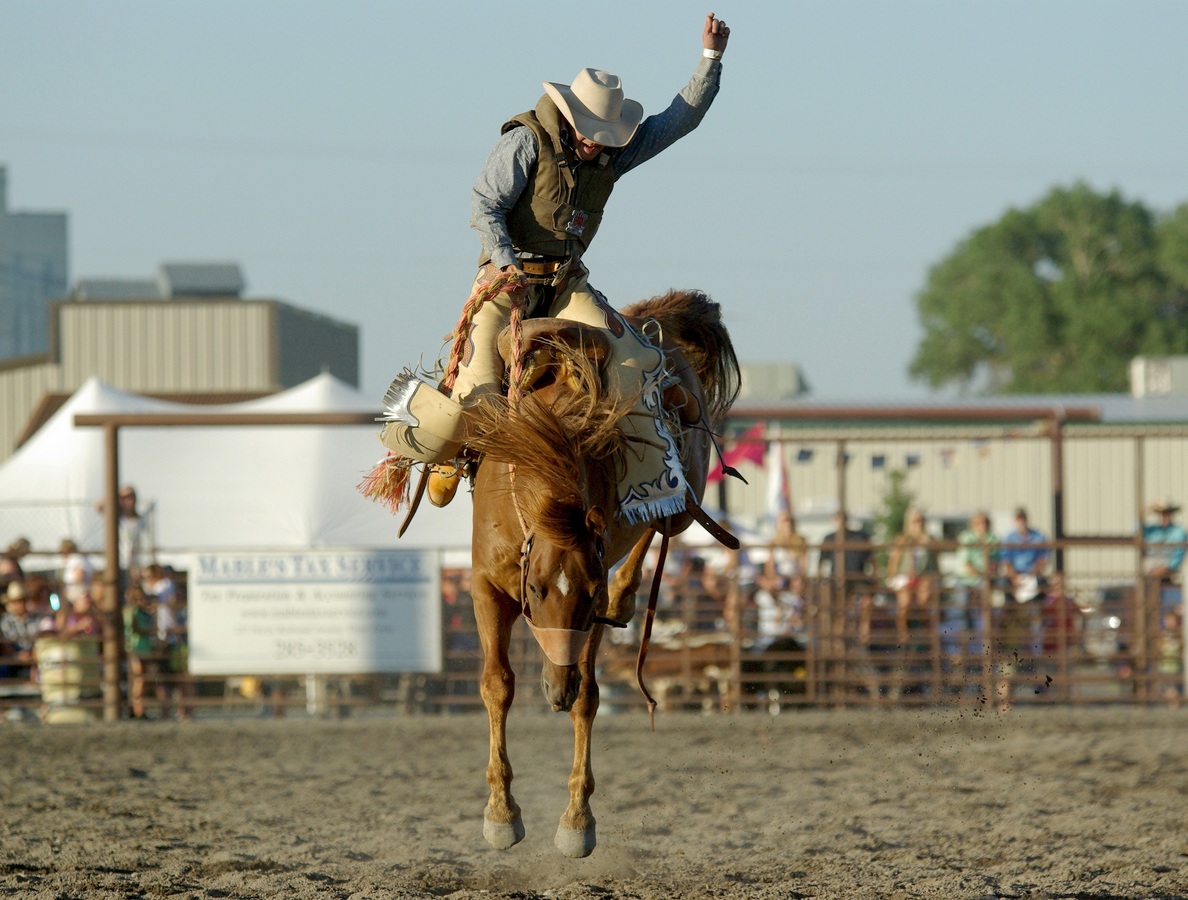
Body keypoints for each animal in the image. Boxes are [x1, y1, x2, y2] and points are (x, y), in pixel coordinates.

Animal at [461, 289, 739, 858]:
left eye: (586, 597)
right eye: (535, 588)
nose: (556, 691)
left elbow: (589, 698)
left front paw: (576, 822)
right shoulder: (485, 586)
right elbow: (497, 684)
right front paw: (501, 814)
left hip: (684, 497)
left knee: (663, 521)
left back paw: (626, 596)